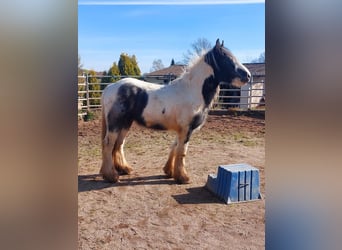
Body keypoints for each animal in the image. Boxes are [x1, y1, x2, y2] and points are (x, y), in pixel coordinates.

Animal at [100, 38, 250, 184]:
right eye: (226, 58)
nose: (248, 76)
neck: (192, 91)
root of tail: (110, 87)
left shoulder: (181, 129)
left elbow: (175, 147)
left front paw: (169, 172)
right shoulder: (186, 129)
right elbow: (182, 151)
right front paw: (183, 177)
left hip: (125, 123)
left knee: (119, 144)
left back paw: (124, 169)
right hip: (115, 124)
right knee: (108, 144)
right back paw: (111, 176)